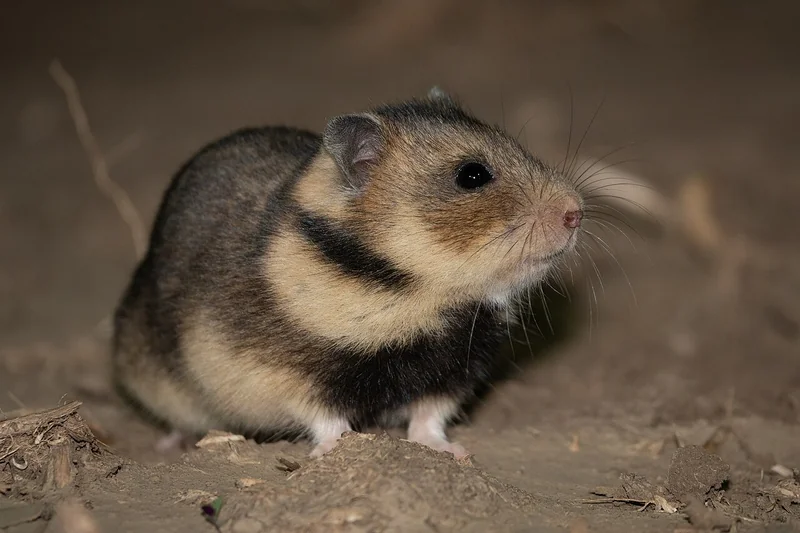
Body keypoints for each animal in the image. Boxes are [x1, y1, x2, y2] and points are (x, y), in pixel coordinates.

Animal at [112, 87, 584, 458]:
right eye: (471, 175)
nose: (576, 213)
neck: (415, 290)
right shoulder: (288, 375)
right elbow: (326, 419)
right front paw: (336, 452)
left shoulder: (454, 371)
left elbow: (428, 418)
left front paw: (452, 451)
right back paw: (172, 442)